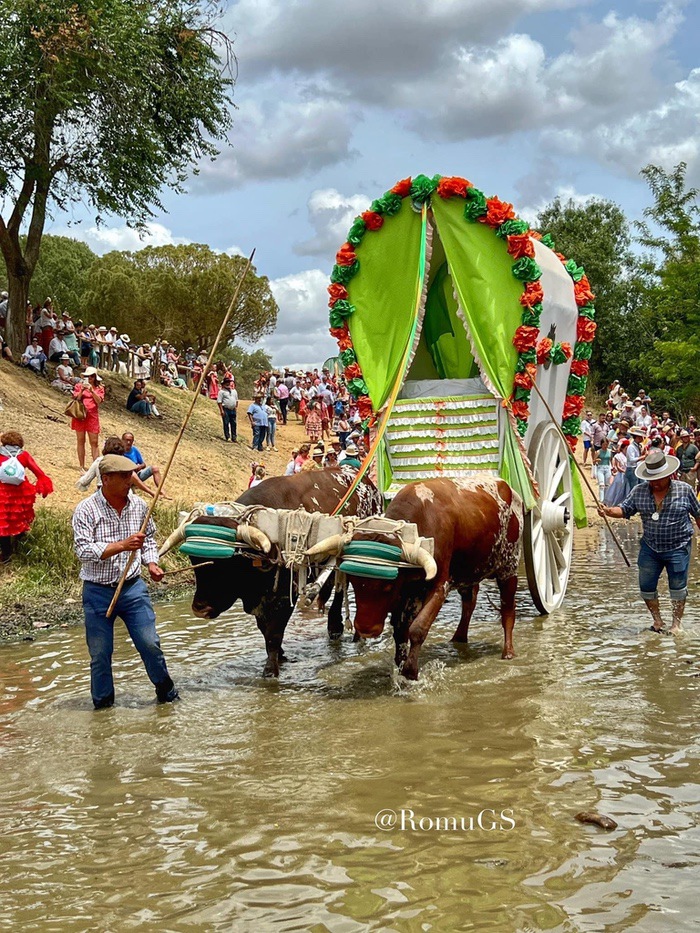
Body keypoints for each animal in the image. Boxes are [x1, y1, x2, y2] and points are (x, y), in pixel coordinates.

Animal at [159, 468, 383, 677]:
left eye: (227, 563)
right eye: (192, 559)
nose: (200, 609)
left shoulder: (284, 596)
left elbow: (274, 633)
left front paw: (270, 669)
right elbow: (264, 630)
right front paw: (280, 656)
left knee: (342, 592)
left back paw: (344, 630)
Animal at [307, 476, 523, 680]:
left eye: (387, 587)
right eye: (353, 582)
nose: (366, 629)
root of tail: (507, 487)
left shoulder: (439, 586)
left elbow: (418, 628)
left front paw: (410, 671)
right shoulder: (408, 593)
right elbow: (400, 630)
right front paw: (400, 664)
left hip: (509, 568)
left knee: (508, 610)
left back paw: (508, 652)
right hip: (469, 572)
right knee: (469, 603)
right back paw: (459, 638)